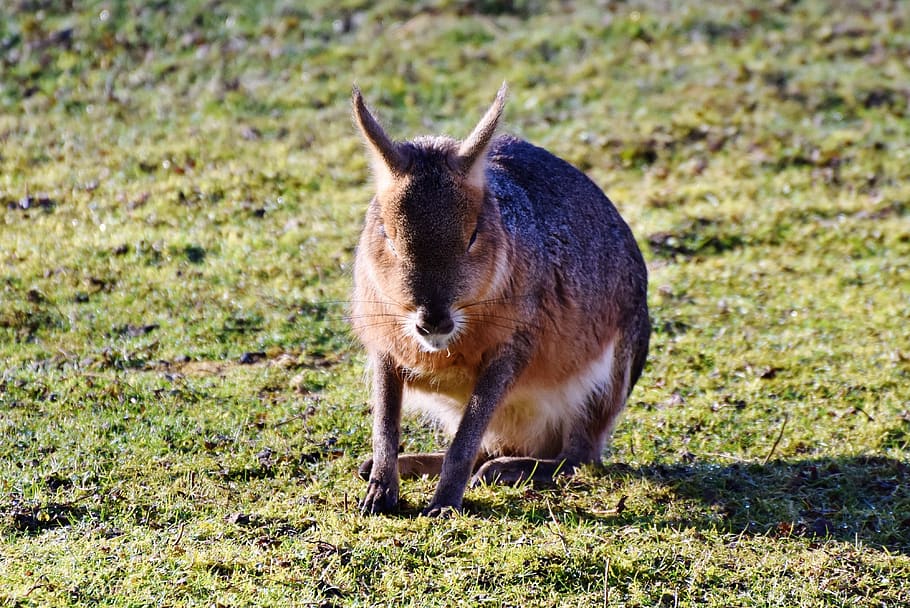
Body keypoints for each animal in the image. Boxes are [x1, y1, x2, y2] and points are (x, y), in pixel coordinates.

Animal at [350, 84, 650, 516]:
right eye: (388, 236)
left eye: (473, 235)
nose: (433, 320)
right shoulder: (384, 348)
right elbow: (385, 427)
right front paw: (378, 493)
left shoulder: (513, 347)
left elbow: (465, 439)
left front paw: (444, 504)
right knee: (490, 448)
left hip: (605, 383)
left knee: (578, 456)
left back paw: (505, 470)